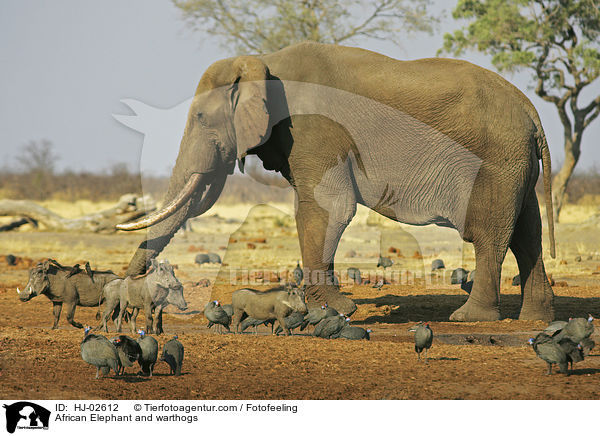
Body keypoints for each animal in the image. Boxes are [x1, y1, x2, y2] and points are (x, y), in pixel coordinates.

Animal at [119, 41, 556, 320]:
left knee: (489, 234)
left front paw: (334, 310)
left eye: (200, 118)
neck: (263, 60)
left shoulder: (312, 129)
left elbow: (328, 208)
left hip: (496, 161)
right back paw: (535, 319)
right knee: (527, 234)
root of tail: (532, 112)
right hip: (516, 164)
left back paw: (469, 318)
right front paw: (332, 308)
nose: (132, 281)